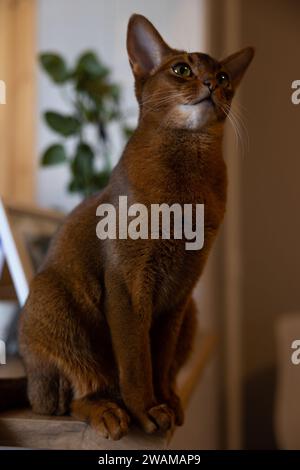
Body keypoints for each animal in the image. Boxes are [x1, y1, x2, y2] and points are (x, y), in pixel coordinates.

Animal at [16, 14, 254, 440]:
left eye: (225, 76)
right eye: (182, 69)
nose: (211, 84)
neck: (186, 183)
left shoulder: (180, 291)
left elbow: (158, 358)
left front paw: (164, 404)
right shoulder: (127, 287)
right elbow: (135, 360)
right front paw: (146, 410)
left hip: (192, 313)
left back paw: (170, 399)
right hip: (54, 300)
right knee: (78, 392)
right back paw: (110, 413)